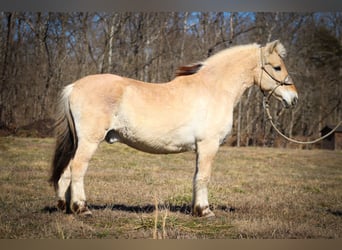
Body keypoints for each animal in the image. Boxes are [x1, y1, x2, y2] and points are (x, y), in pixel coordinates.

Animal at [49, 40, 298, 217]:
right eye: (277, 67)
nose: (293, 98)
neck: (214, 89)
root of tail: (74, 86)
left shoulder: (200, 148)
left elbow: (197, 177)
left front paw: (197, 209)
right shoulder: (208, 145)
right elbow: (204, 177)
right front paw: (205, 211)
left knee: (67, 171)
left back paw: (65, 206)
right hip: (89, 141)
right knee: (78, 169)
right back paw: (82, 208)